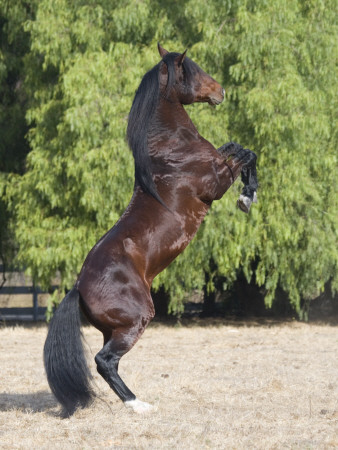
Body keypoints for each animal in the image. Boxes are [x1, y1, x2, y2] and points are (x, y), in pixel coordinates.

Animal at [43, 44, 258, 416]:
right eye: (192, 70)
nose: (221, 91)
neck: (172, 150)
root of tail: (77, 288)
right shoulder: (215, 184)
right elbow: (247, 154)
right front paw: (248, 196)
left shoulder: (219, 161)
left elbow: (238, 147)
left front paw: (250, 192)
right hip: (137, 319)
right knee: (104, 361)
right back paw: (138, 404)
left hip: (115, 328)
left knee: (109, 362)